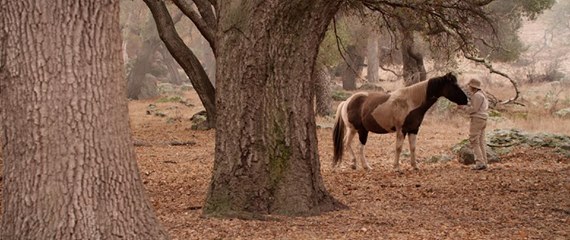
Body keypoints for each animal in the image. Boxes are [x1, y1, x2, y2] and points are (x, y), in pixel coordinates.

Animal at [330, 72, 468, 172]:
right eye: (454, 85)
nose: (466, 100)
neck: (411, 102)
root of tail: (346, 102)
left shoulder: (414, 130)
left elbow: (413, 147)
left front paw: (414, 166)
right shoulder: (401, 130)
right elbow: (399, 148)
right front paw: (396, 167)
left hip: (353, 130)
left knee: (347, 143)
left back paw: (354, 164)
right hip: (360, 130)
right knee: (359, 147)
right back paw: (366, 166)